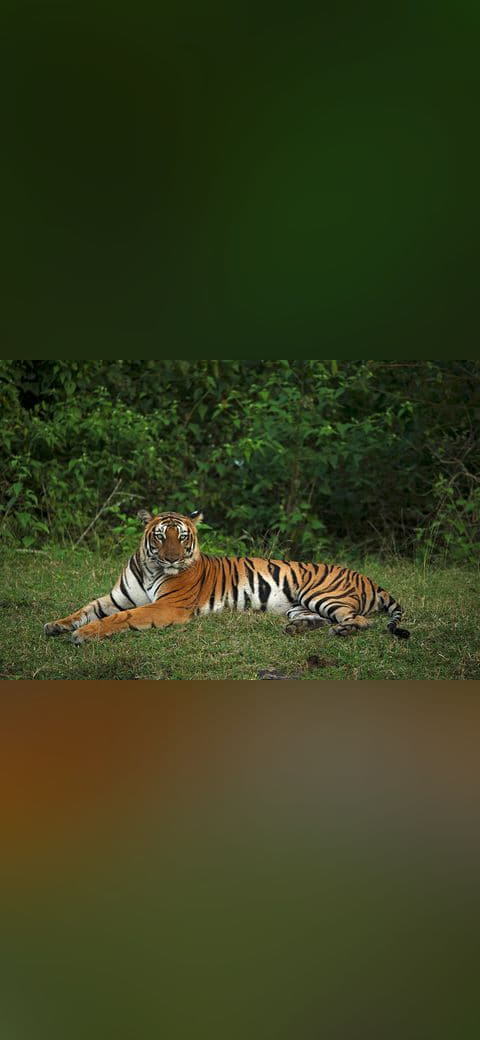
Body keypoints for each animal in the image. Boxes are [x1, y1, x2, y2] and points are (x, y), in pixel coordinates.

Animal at [44, 509, 410, 645]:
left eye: (183, 537)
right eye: (160, 537)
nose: (173, 558)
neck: (152, 568)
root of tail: (369, 579)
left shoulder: (167, 607)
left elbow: (123, 618)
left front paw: (83, 635)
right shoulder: (115, 597)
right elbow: (85, 609)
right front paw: (56, 625)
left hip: (322, 594)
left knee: (363, 620)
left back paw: (343, 630)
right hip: (298, 605)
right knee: (317, 619)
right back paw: (296, 629)